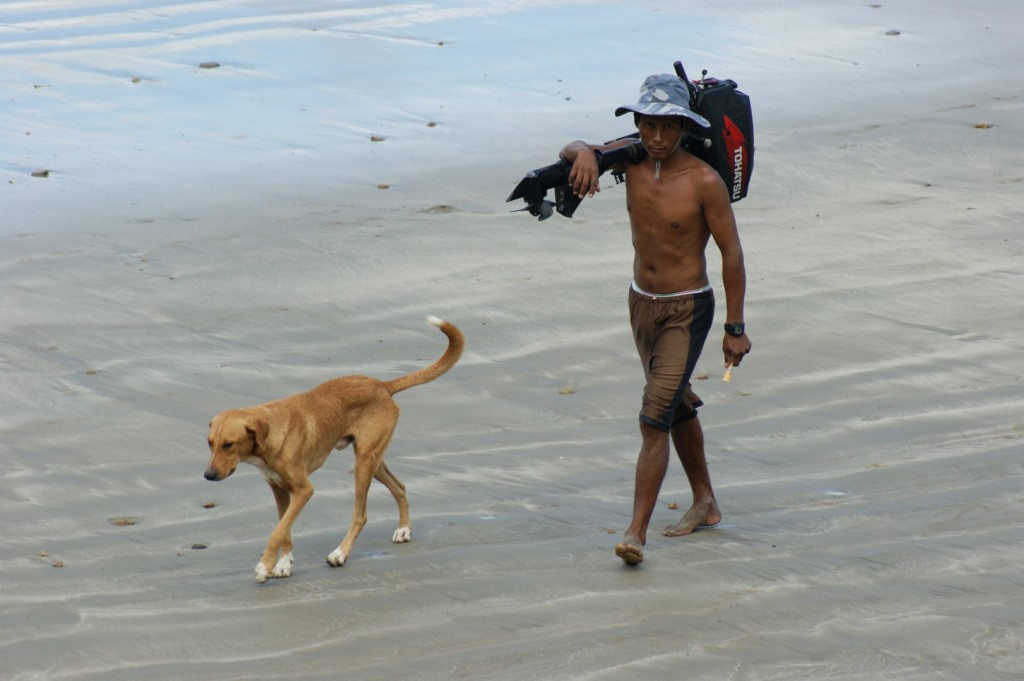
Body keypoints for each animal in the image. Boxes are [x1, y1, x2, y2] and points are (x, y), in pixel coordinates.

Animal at [205, 315, 462, 581]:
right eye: (210, 443)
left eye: (229, 444)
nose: (208, 475)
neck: (273, 431)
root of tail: (382, 385)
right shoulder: (279, 489)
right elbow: (284, 530)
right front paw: (284, 564)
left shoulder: (304, 490)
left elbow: (277, 531)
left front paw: (264, 566)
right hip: (372, 460)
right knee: (399, 487)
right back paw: (403, 530)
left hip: (363, 464)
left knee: (360, 515)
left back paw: (340, 554)